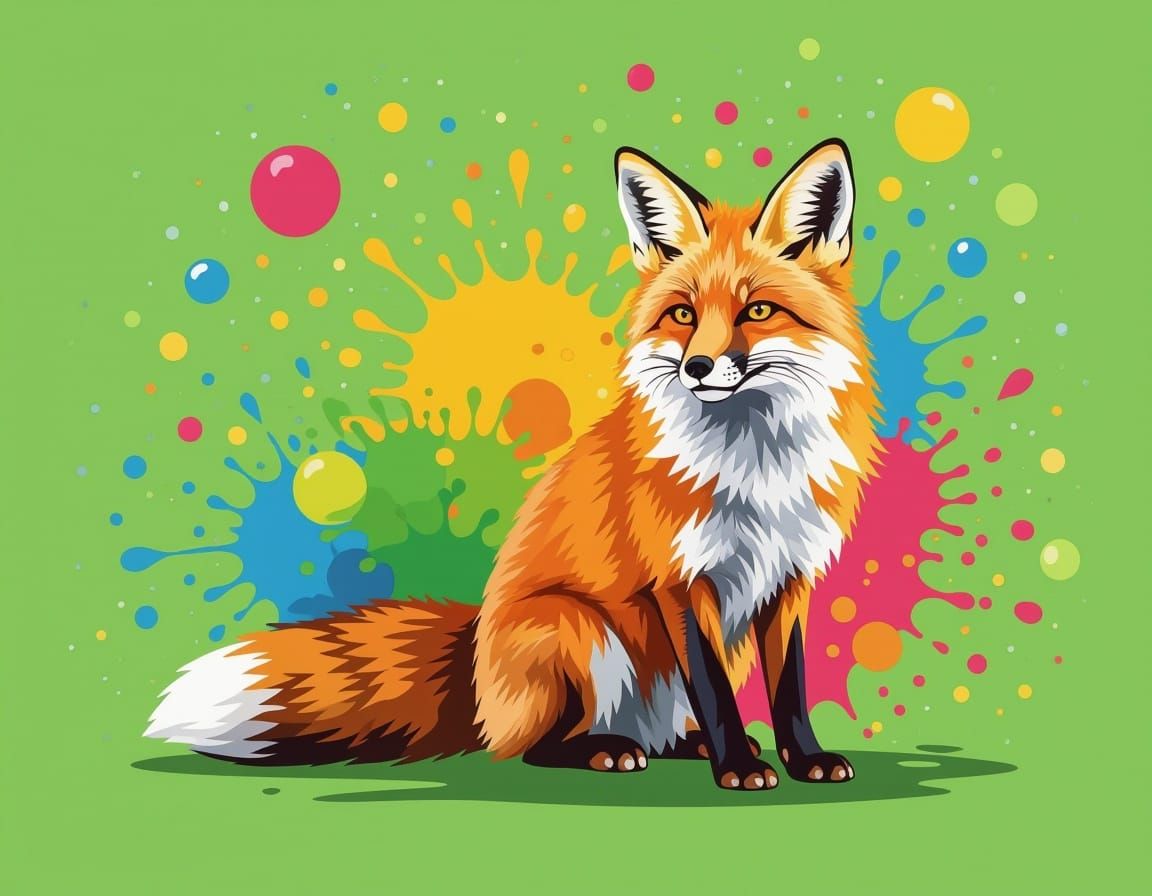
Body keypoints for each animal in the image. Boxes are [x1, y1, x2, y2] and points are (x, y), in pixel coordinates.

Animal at [145, 138, 880, 791]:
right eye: (682, 314)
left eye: (757, 310)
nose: (697, 366)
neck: (755, 468)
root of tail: (476, 662)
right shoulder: (679, 580)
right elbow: (718, 694)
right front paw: (740, 769)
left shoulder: (788, 577)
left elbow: (788, 689)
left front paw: (803, 760)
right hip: (574, 626)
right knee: (535, 748)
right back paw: (608, 751)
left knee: (658, 732)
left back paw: (683, 746)